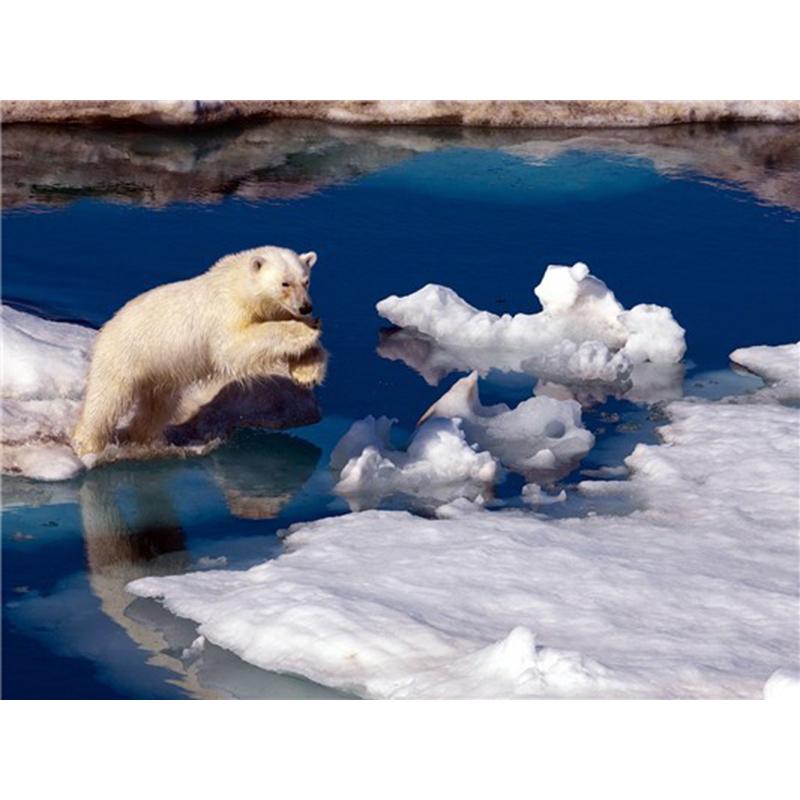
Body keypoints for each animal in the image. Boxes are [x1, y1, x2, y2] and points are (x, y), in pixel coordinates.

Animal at [71, 245, 327, 460]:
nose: (306, 306)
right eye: (285, 283)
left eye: (305, 281)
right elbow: (234, 347)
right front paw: (305, 330)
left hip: (159, 372)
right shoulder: (226, 312)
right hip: (124, 355)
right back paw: (87, 444)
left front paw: (307, 371)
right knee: (106, 400)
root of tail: (106, 327)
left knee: (158, 406)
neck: (237, 285)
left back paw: (141, 437)